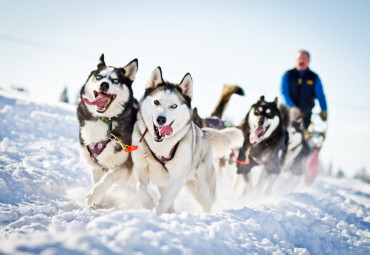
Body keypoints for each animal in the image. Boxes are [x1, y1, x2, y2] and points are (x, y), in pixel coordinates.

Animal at [76, 54, 139, 207]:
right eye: (99, 77)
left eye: (115, 80)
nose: (104, 84)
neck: (104, 120)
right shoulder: (95, 165)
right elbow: (97, 180)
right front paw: (99, 201)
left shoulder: (125, 166)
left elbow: (109, 177)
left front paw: (94, 196)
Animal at [132, 66, 217, 214]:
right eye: (156, 102)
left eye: (174, 106)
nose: (161, 119)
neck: (160, 146)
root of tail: (203, 132)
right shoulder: (141, 168)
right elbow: (140, 188)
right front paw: (148, 205)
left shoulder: (176, 179)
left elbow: (163, 201)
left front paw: (155, 213)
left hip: (203, 190)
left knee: (207, 204)